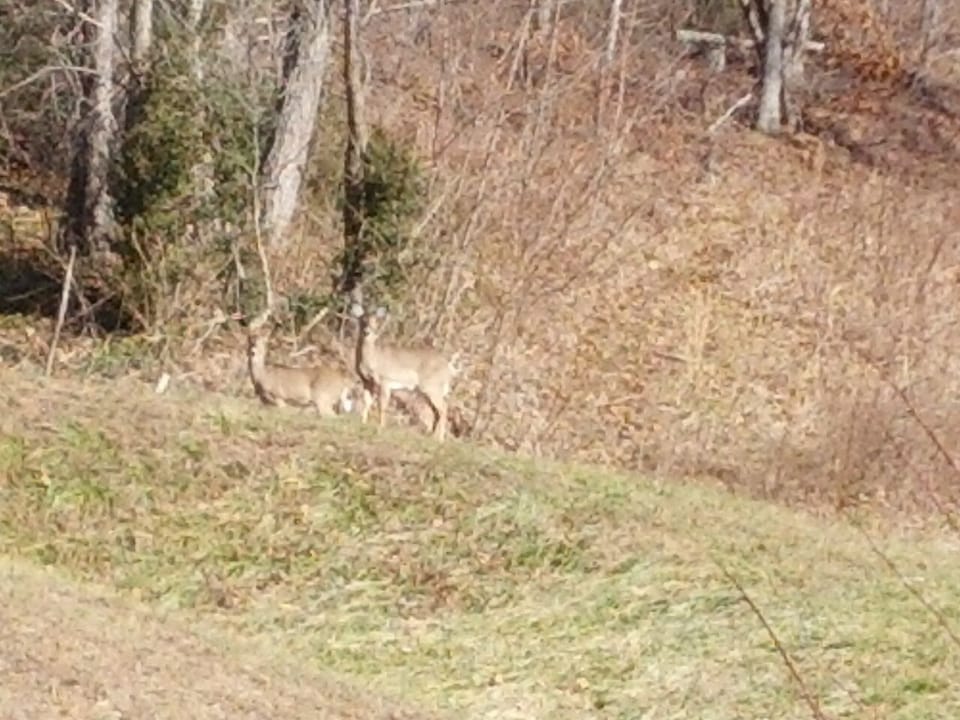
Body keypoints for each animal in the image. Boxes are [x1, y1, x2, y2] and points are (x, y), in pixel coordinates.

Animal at [352, 305, 461, 441]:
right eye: (362, 320)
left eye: (376, 321)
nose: (367, 332)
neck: (372, 359)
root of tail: (448, 367)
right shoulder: (366, 381)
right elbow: (367, 402)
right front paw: (363, 423)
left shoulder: (385, 380)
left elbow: (382, 406)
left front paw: (381, 427)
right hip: (427, 390)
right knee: (435, 411)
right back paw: (431, 436)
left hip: (432, 386)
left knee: (444, 408)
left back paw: (440, 440)